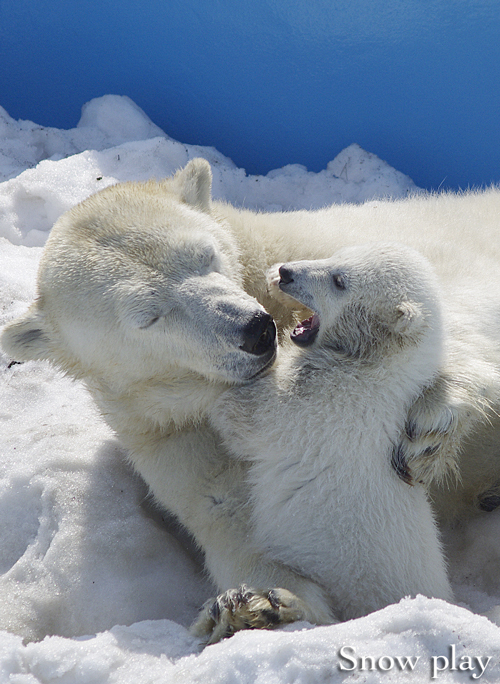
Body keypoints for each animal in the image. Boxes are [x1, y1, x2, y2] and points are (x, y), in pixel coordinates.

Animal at [196, 243, 454, 640]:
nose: (285, 272)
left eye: (339, 281)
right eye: (337, 255)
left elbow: (246, 419)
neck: (381, 368)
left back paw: (256, 607)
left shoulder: (324, 397)